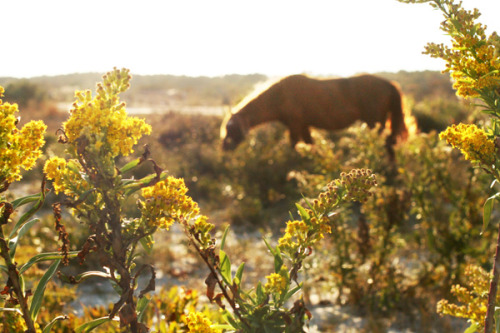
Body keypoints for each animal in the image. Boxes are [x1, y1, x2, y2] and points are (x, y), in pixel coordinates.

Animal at [221, 74, 408, 150]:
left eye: (231, 129)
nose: (224, 147)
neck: (279, 96)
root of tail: (389, 84)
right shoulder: (303, 126)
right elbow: (310, 145)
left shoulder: (295, 126)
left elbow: (295, 145)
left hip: (374, 122)